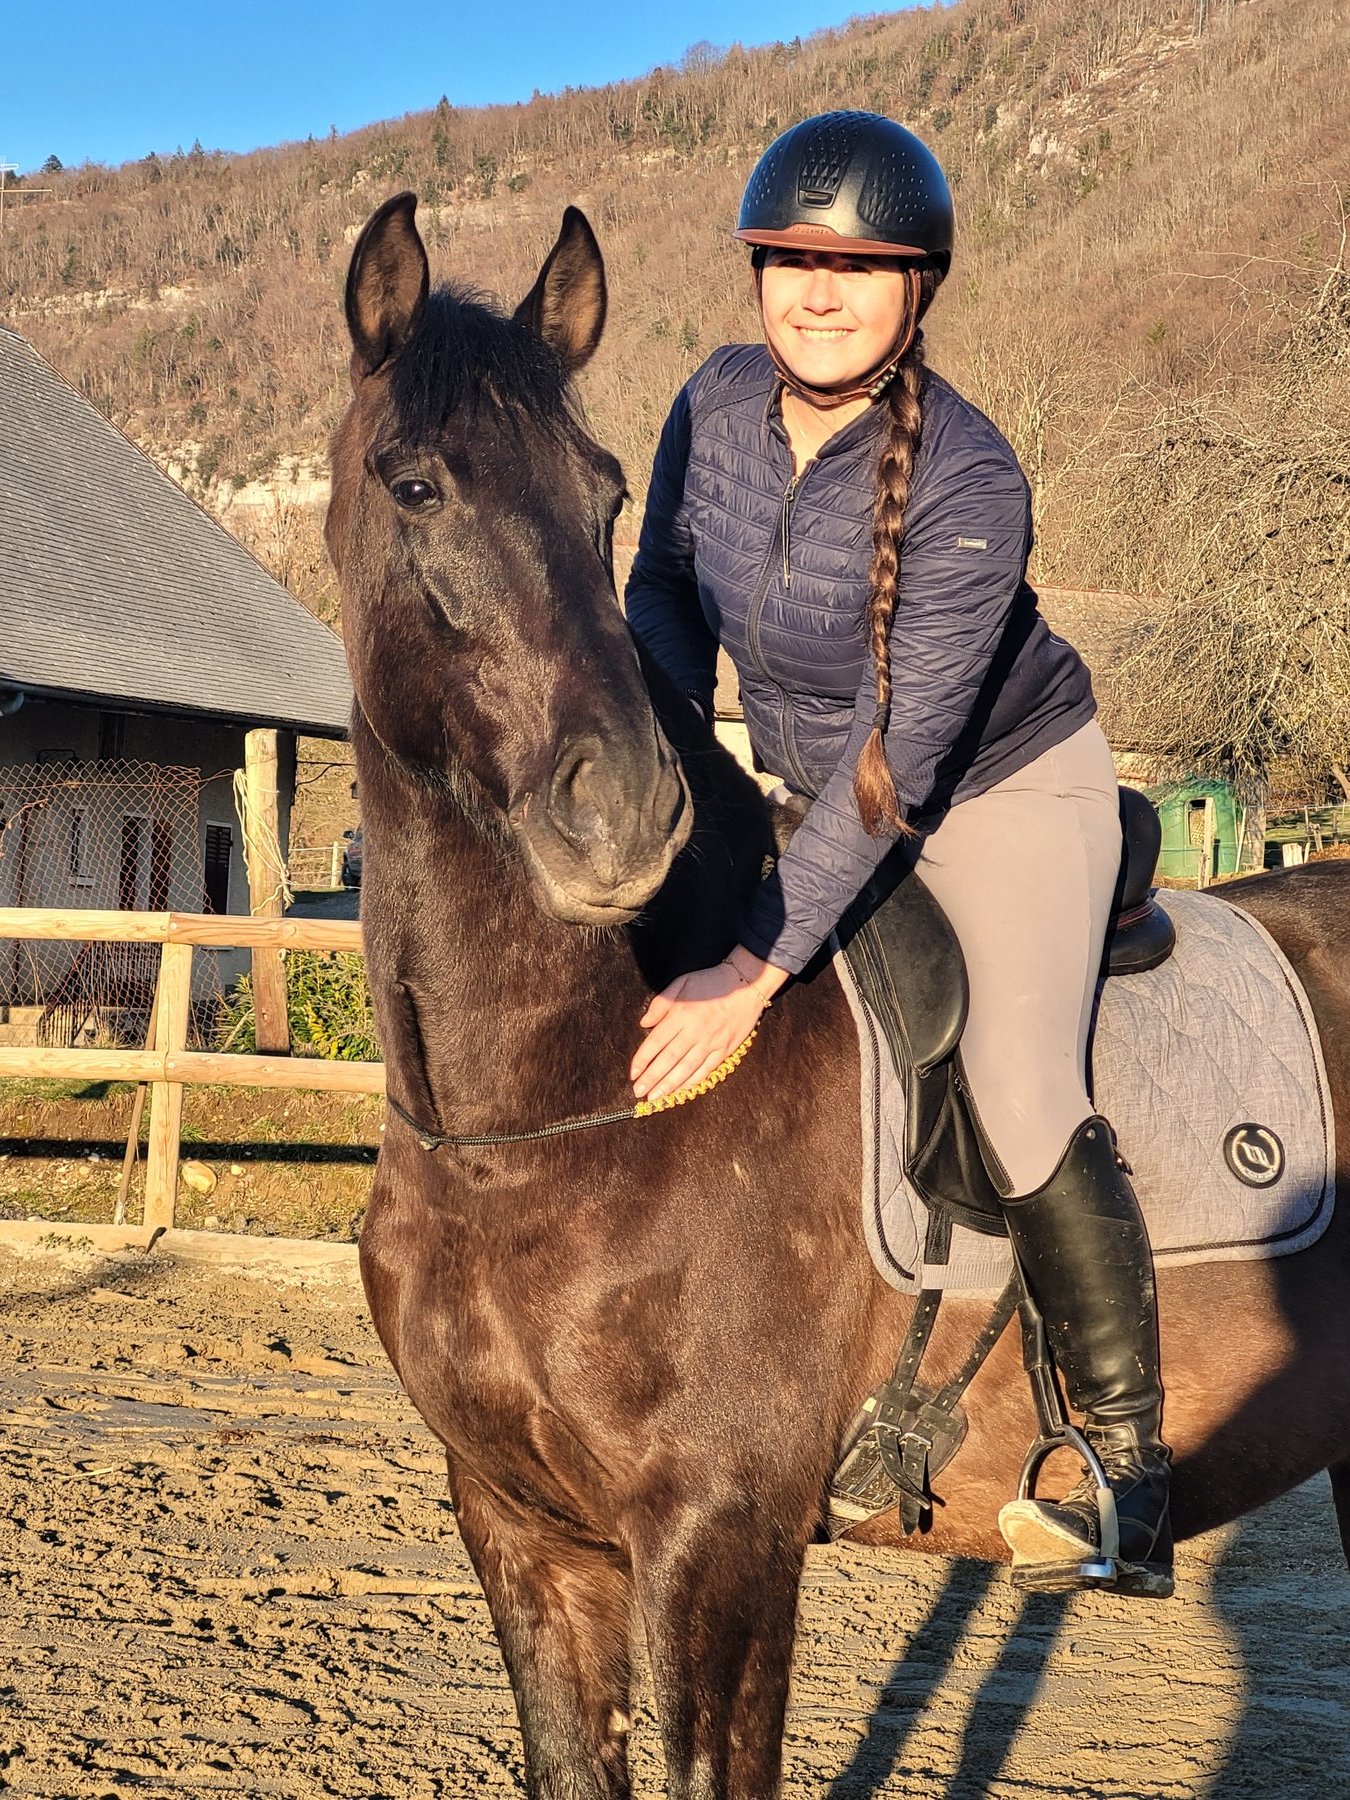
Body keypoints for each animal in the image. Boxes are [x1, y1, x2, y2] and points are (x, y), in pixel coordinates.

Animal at [326, 192, 1350, 1799]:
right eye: (414, 482)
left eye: (601, 494)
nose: (626, 812)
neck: (545, 1122)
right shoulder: (522, 1530)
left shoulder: (719, 1543)